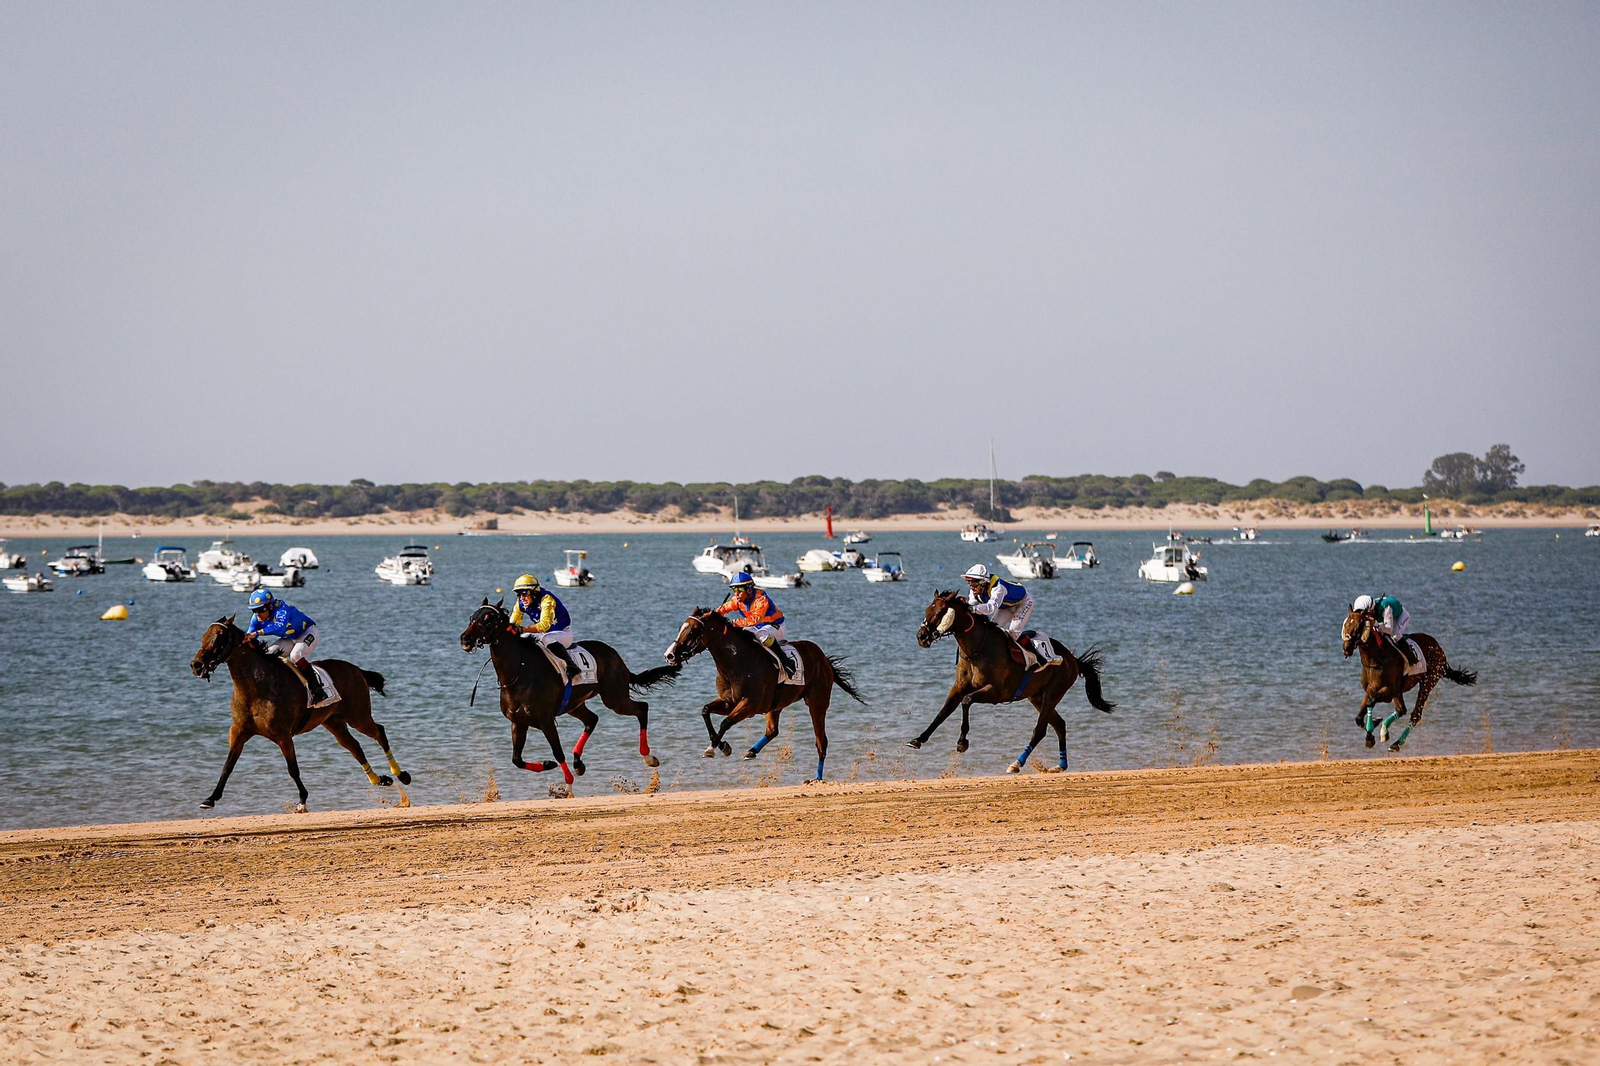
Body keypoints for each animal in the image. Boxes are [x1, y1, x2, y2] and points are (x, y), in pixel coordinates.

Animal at [189, 615, 409, 813]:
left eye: (218, 638)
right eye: (203, 636)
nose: (196, 665)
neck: (256, 687)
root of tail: (356, 669)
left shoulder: (283, 735)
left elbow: (292, 769)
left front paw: (302, 801)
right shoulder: (239, 731)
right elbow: (228, 765)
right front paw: (210, 799)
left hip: (358, 716)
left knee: (379, 732)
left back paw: (400, 774)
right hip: (334, 722)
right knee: (355, 747)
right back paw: (380, 779)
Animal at [459, 600, 680, 787]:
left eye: (488, 619)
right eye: (471, 617)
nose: (465, 639)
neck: (519, 671)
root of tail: (615, 655)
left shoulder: (546, 721)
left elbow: (558, 752)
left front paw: (567, 784)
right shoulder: (518, 722)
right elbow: (516, 759)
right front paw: (547, 764)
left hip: (614, 698)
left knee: (642, 708)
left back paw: (648, 757)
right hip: (575, 704)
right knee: (592, 719)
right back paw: (578, 762)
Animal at [663, 608, 865, 781]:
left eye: (692, 631)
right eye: (681, 628)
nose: (669, 655)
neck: (737, 661)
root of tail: (823, 658)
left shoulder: (749, 705)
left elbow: (725, 722)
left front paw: (714, 748)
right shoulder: (728, 702)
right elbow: (705, 711)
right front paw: (720, 745)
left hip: (817, 702)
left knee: (821, 741)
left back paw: (817, 778)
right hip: (776, 705)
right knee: (772, 730)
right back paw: (752, 751)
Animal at [911, 590, 1114, 772]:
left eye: (940, 612)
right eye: (927, 610)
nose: (921, 636)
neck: (977, 649)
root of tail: (1073, 660)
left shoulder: (996, 692)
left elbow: (966, 701)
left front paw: (962, 742)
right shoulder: (959, 687)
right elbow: (943, 711)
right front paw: (918, 739)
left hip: (1052, 693)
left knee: (1040, 730)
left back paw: (1016, 764)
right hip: (1036, 697)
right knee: (1060, 725)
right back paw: (1060, 765)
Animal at [1341, 609, 1477, 751]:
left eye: (1358, 626)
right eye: (1345, 624)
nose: (1346, 648)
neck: (1376, 658)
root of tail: (1439, 649)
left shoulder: (1389, 691)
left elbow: (1370, 703)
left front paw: (1372, 731)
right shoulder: (1371, 690)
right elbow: (1359, 717)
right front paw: (1373, 729)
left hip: (1428, 682)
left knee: (1415, 714)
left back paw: (1396, 743)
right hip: (1401, 691)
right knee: (1402, 709)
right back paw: (1385, 730)